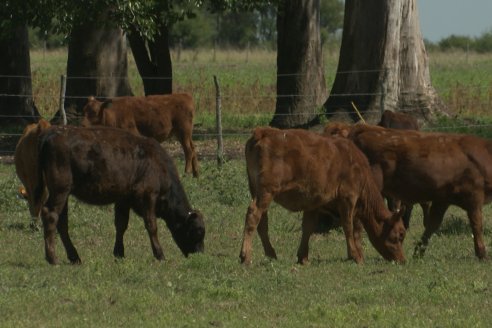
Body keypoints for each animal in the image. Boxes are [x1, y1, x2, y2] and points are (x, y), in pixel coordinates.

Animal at [30, 124, 205, 266]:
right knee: (50, 215)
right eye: (197, 231)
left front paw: (119, 253)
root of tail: (51, 133)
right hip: (60, 190)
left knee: (62, 222)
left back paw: (74, 257)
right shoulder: (148, 196)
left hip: (64, 193)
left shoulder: (123, 199)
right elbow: (151, 226)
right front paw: (160, 255)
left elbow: (121, 224)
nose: (199, 254)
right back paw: (53, 259)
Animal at [237, 127, 404, 266]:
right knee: (253, 215)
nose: (402, 259)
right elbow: (349, 226)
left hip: (257, 191)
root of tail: (263, 132)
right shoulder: (348, 198)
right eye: (398, 236)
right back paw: (246, 257)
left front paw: (303, 257)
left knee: (262, 221)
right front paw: (356, 256)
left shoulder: (313, 203)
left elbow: (308, 227)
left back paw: (271, 254)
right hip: (266, 192)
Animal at [322, 121, 492, 260]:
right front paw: (482, 253)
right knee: (354, 220)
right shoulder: (474, 197)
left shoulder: (442, 200)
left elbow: (432, 224)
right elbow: (477, 225)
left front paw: (418, 252)